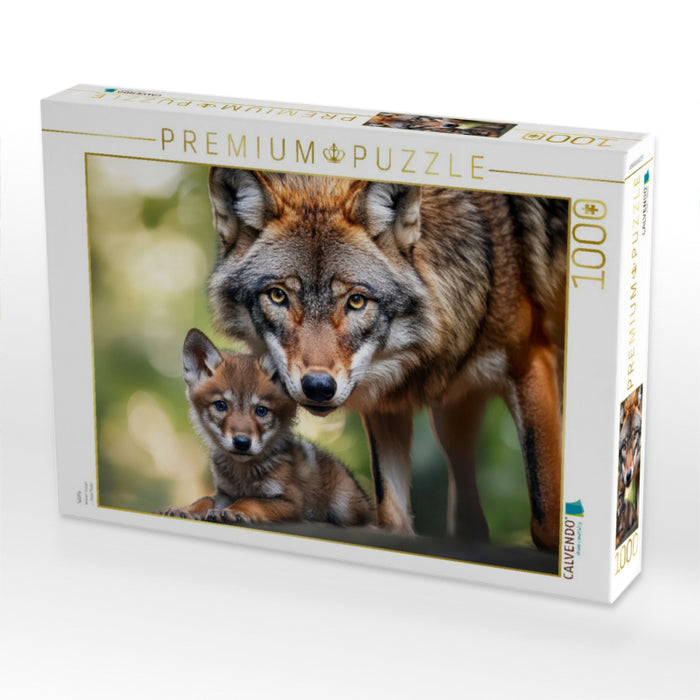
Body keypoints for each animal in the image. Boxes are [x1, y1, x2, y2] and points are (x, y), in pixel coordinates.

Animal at [158, 329, 371, 526]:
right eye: (221, 405)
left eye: (261, 410)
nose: (242, 442)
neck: (243, 475)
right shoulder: (224, 492)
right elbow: (205, 499)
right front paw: (186, 509)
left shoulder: (291, 502)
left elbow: (250, 500)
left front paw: (232, 511)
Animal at [207, 168, 568, 551]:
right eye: (278, 296)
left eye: (356, 301)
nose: (318, 387)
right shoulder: (386, 406)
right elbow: (394, 520)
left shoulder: (530, 362)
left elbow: (547, 522)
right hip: (453, 414)